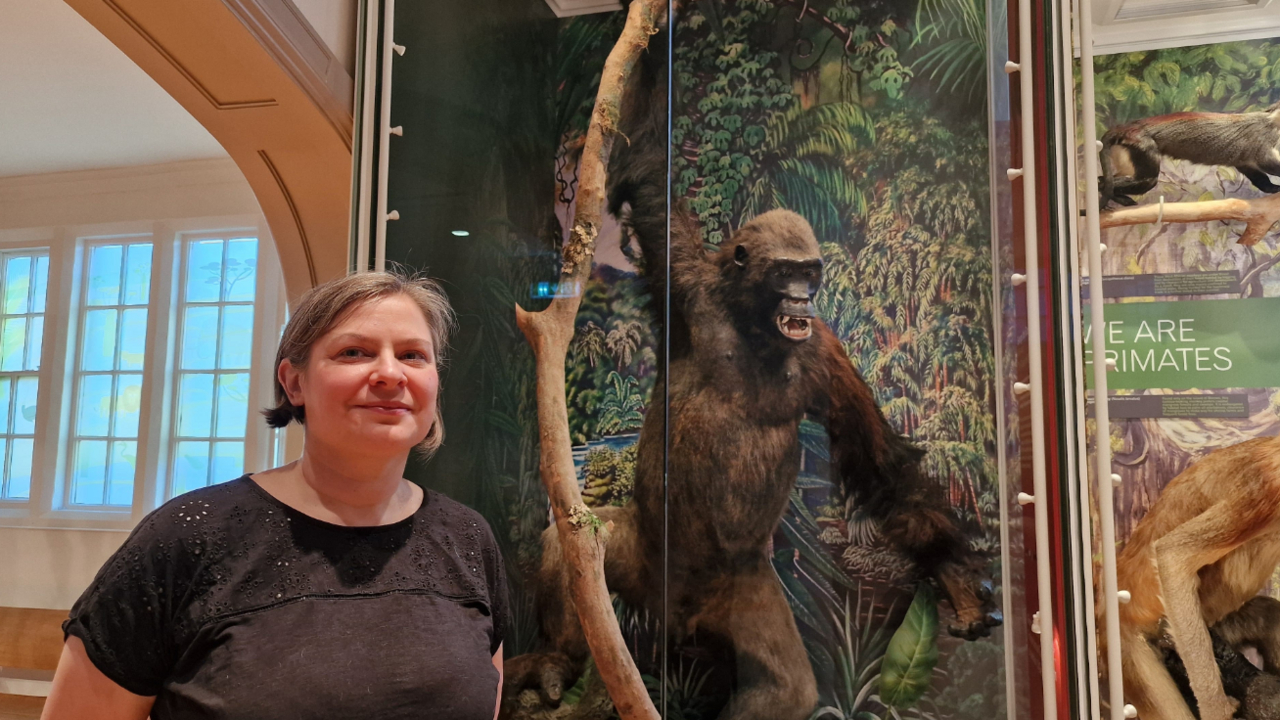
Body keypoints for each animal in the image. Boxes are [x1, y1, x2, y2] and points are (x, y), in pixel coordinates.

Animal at [1095, 101, 1280, 207]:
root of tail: (1128, 126)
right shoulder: (1265, 133)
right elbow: (1265, 160)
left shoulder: (1247, 158)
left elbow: (1250, 168)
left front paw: (1272, 188)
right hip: (1141, 143)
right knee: (1148, 180)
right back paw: (1105, 188)